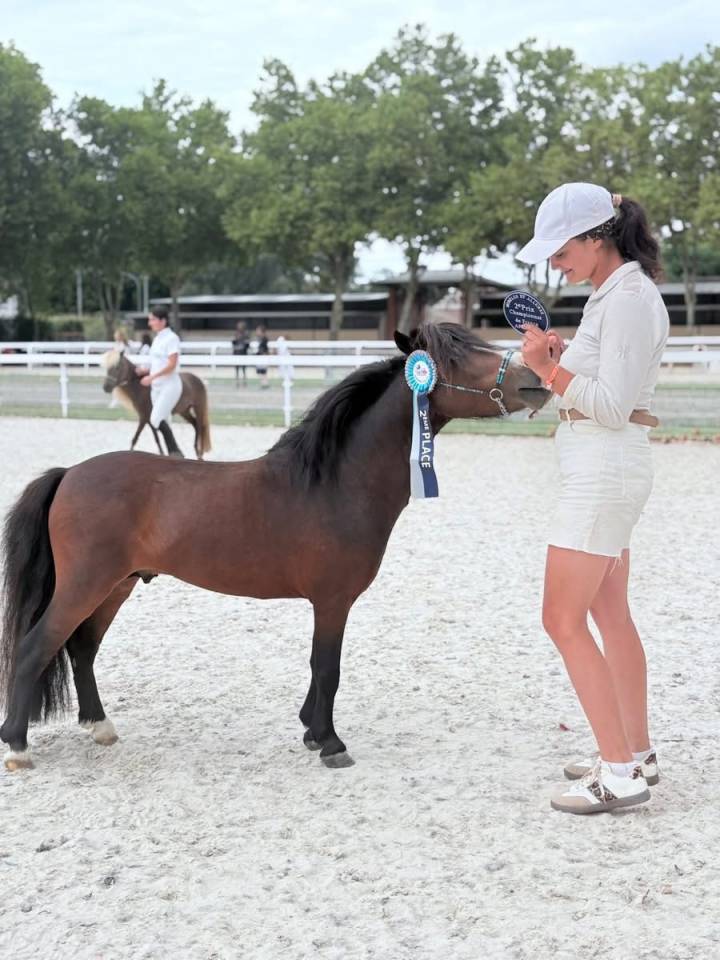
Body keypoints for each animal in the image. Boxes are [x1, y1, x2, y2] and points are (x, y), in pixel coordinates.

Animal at [0, 324, 549, 772]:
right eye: (454, 358)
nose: (534, 381)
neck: (334, 482)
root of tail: (69, 474)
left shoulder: (329, 602)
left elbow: (319, 669)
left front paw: (311, 730)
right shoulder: (333, 600)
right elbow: (327, 668)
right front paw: (330, 743)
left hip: (117, 586)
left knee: (81, 649)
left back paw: (100, 727)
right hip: (87, 584)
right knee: (36, 647)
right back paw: (19, 747)